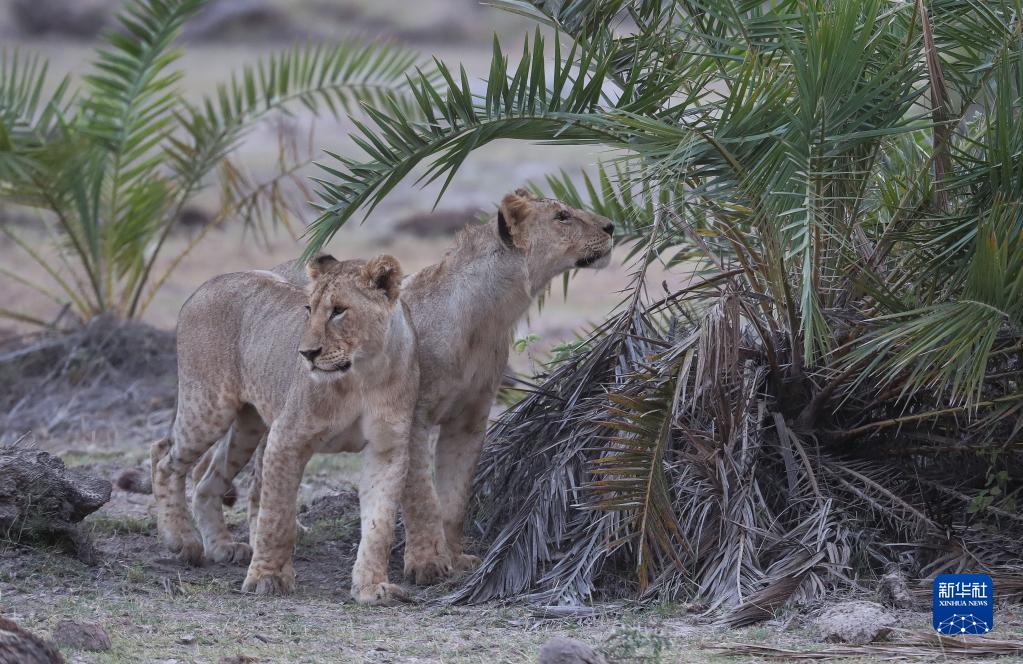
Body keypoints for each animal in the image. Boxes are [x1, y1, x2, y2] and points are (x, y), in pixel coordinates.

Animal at [149, 251, 419, 601]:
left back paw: (222, 547)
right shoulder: (287, 436)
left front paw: (372, 586)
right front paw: (268, 578)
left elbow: (379, 525)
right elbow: (276, 516)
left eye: (339, 310)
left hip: (248, 424)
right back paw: (180, 540)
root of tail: (206, 284)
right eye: (309, 309)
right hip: (209, 407)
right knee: (163, 456)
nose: (306, 353)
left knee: (206, 477)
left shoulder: (388, 449)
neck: (364, 374)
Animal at [191, 189, 609, 581]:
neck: (491, 316)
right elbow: (422, 494)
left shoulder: (470, 419)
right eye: (562, 216)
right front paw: (427, 563)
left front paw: (455, 557)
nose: (611, 226)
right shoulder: (414, 416)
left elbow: (455, 497)